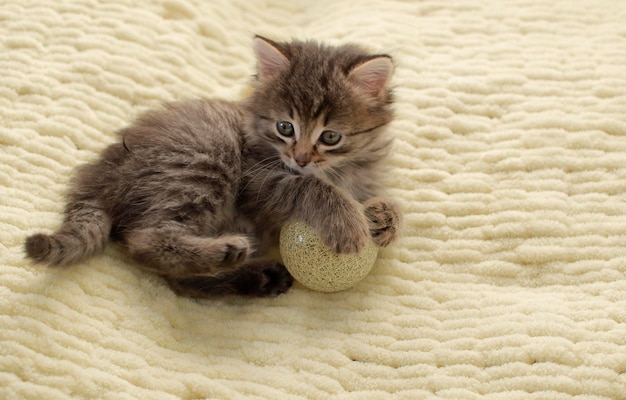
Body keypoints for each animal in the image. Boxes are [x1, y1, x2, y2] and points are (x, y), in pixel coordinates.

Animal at [24, 36, 400, 296]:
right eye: (285, 128)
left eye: (331, 136)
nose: (301, 158)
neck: (339, 168)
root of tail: (101, 169)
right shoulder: (258, 180)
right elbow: (309, 186)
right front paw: (348, 222)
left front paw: (383, 217)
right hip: (205, 161)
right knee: (145, 241)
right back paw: (226, 253)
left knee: (179, 280)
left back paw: (257, 278)